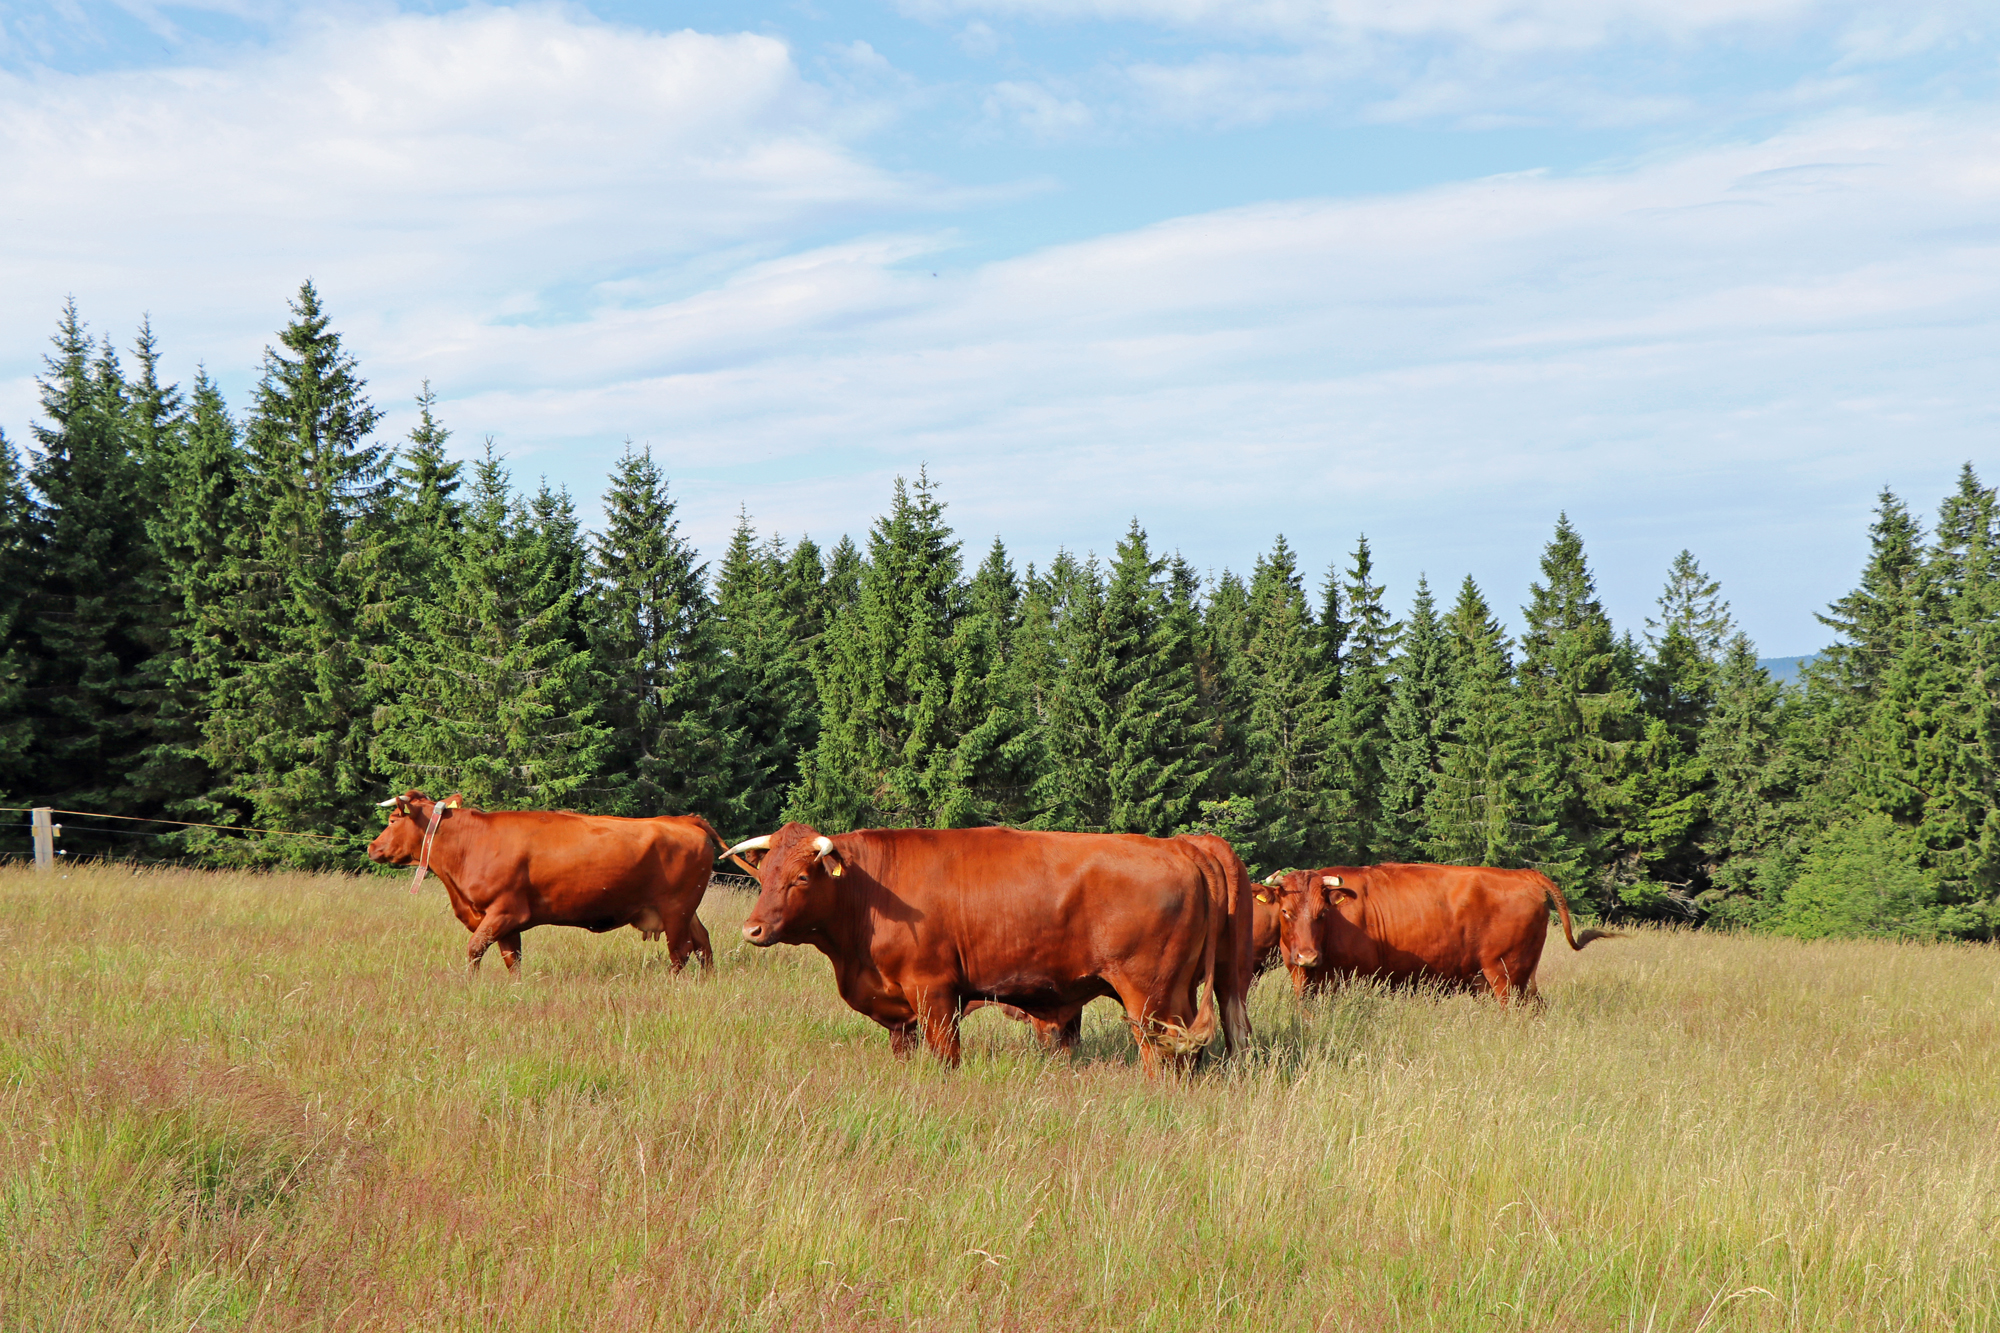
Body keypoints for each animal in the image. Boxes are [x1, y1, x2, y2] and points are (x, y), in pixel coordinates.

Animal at [368, 784, 728, 972]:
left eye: (391, 819)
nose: (372, 847)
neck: (471, 842)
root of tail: (683, 819)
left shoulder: (505, 911)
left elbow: (474, 949)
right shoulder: (506, 923)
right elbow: (513, 960)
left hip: (675, 909)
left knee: (681, 952)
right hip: (686, 910)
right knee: (703, 943)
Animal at [720, 820, 1248, 1072]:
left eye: (801, 877)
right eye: (764, 874)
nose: (753, 930)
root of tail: (1182, 847)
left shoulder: (935, 994)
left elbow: (946, 1058)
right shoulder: (900, 1011)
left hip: (1149, 997)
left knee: (1160, 1058)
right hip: (1180, 994)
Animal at [1264, 860, 1624, 996]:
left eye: (1323, 912)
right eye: (1285, 911)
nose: (1307, 957)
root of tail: (1522, 874)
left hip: (1506, 974)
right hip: (1517, 977)